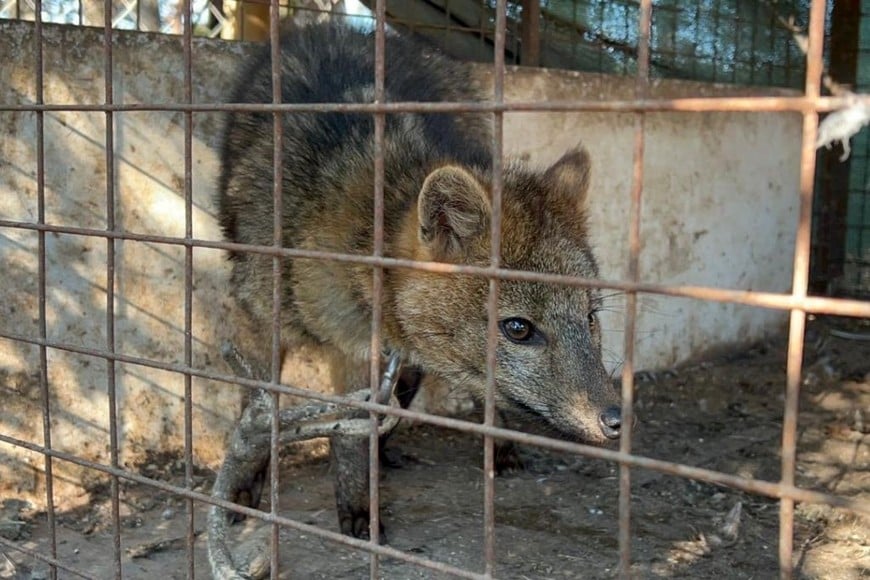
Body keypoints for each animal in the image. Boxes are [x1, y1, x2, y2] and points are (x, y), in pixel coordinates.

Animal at [216, 19, 622, 541]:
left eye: (590, 318)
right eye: (518, 328)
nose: (617, 420)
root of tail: (344, 27)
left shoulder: (364, 354)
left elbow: (354, 436)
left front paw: (360, 502)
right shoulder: (268, 325)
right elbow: (260, 413)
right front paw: (247, 487)